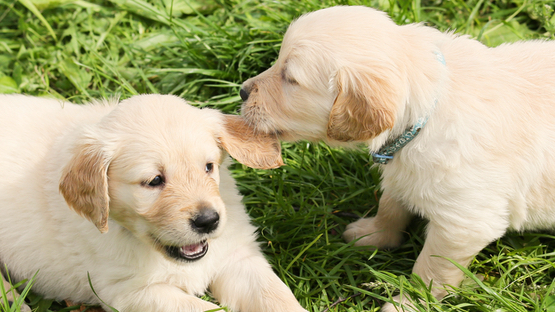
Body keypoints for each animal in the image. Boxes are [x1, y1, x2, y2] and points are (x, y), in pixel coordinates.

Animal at [241, 5, 555, 312]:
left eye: (290, 78)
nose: (242, 91)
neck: (425, 114)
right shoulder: (402, 171)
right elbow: (390, 206)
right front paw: (374, 235)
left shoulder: (464, 224)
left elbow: (430, 271)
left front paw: (409, 303)